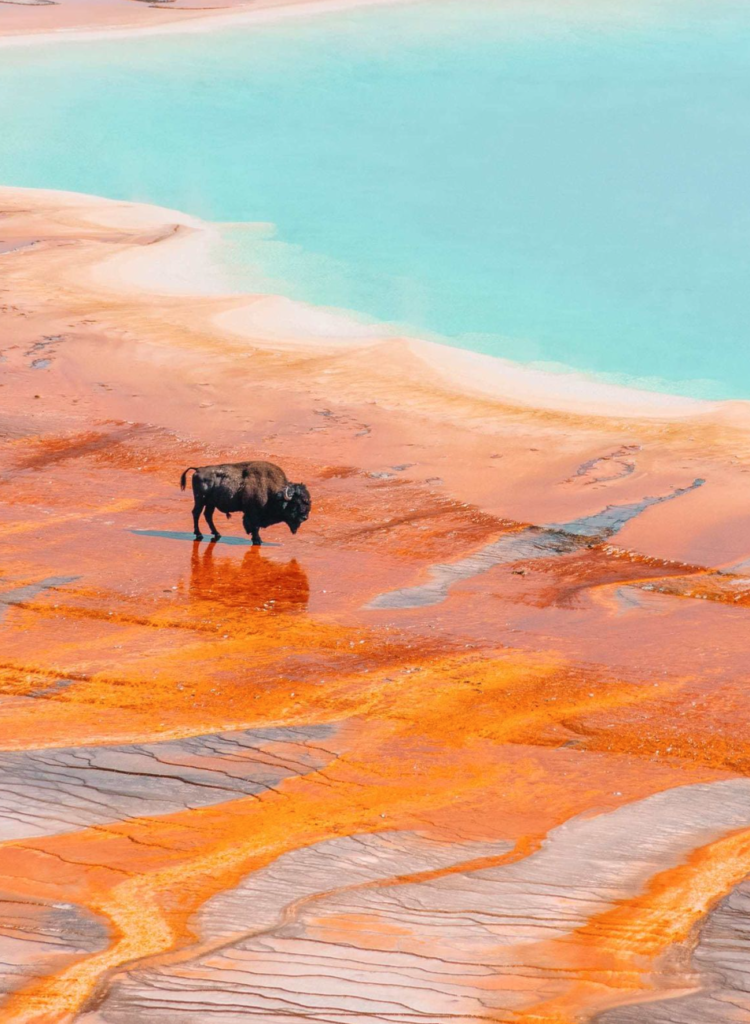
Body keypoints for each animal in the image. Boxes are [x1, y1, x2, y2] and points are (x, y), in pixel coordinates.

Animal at [181, 462, 311, 544]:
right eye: (295, 503)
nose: (305, 517)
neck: (272, 491)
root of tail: (198, 469)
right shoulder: (253, 514)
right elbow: (255, 527)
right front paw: (258, 540)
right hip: (200, 500)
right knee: (196, 513)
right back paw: (199, 534)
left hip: (210, 503)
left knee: (207, 515)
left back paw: (217, 533)